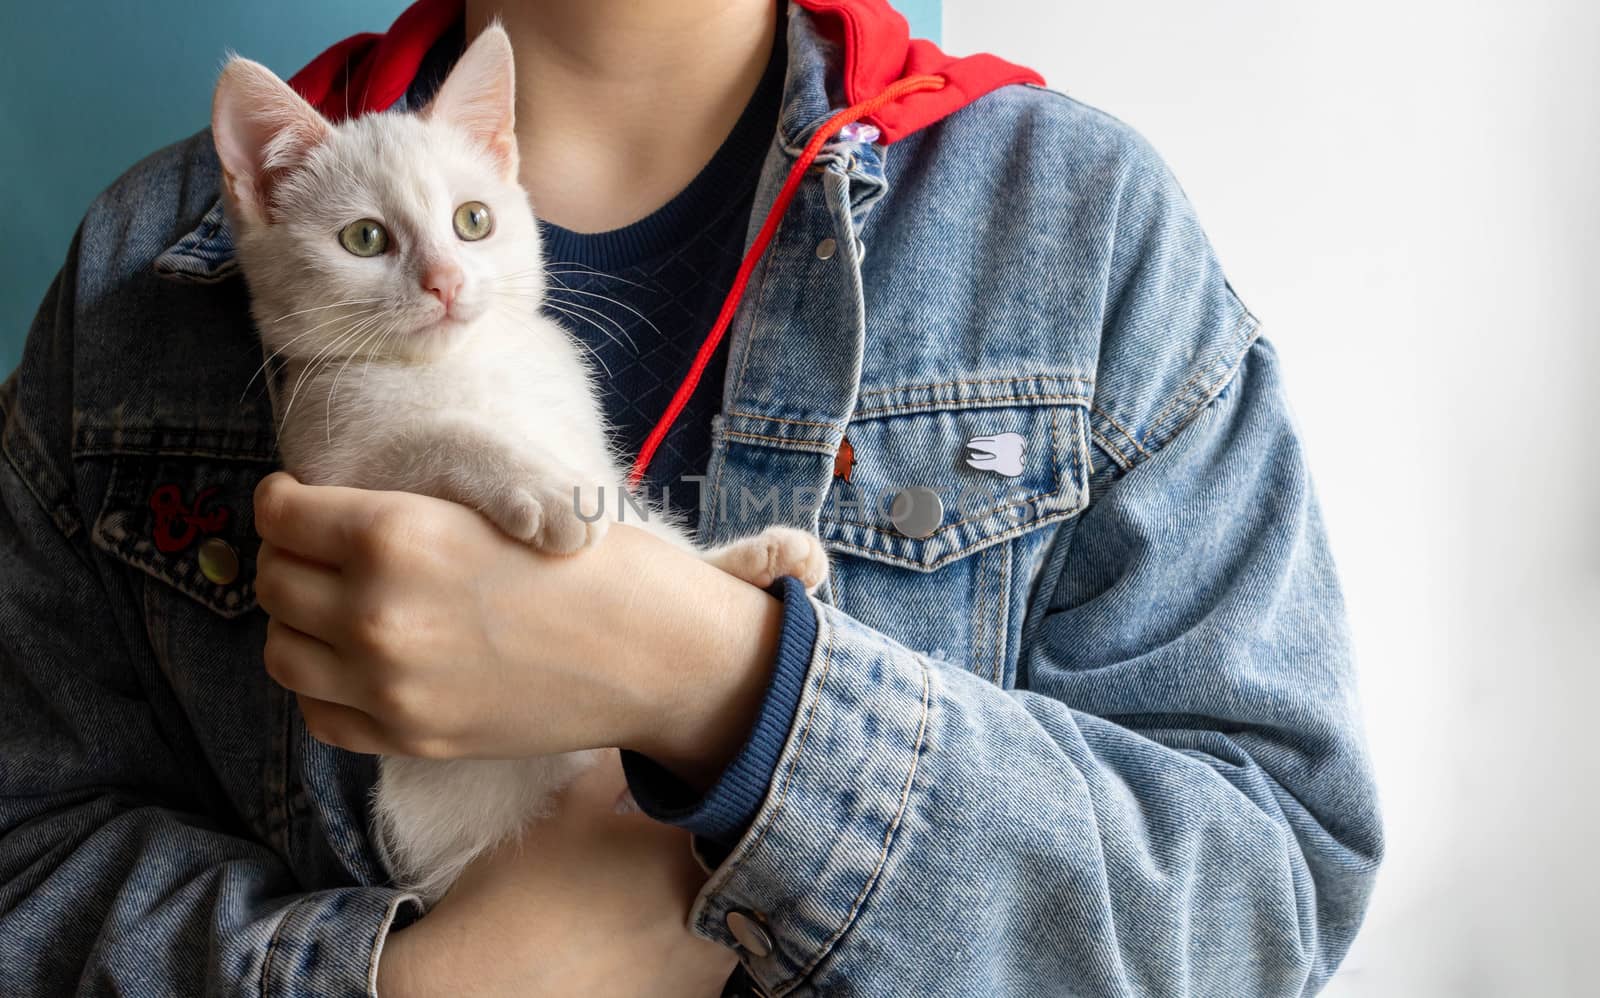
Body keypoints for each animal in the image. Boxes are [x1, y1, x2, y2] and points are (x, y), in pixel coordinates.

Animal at [211, 23, 825, 902]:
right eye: (364, 239)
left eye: (472, 220)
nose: (444, 281)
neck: (470, 362)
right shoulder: (332, 459)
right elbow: (443, 438)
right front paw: (547, 491)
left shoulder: (579, 431)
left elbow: (641, 524)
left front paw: (740, 559)